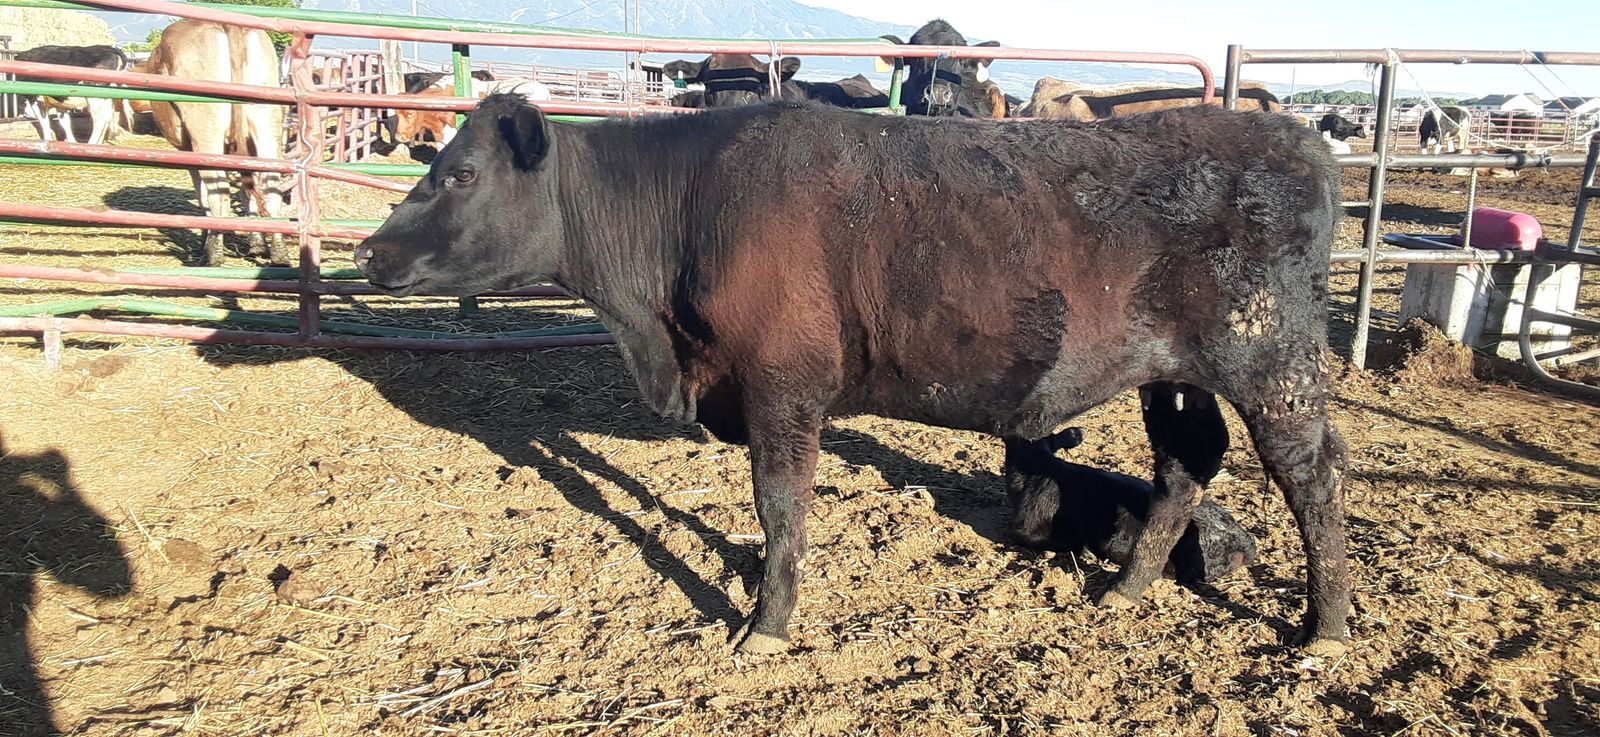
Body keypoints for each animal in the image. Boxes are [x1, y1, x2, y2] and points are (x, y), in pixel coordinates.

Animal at [147, 21, 288, 266]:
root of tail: (226, 24)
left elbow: (203, 195)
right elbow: (247, 191)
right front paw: (257, 244)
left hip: (205, 130)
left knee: (218, 191)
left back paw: (212, 255)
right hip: (266, 120)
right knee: (271, 187)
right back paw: (280, 255)